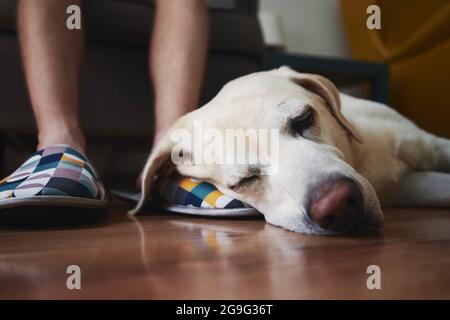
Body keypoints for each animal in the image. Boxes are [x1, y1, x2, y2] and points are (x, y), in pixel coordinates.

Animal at [130, 66, 450, 235]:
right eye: (243, 181)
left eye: (303, 119)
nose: (336, 204)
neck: (363, 160)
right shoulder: (410, 186)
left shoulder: (430, 146)